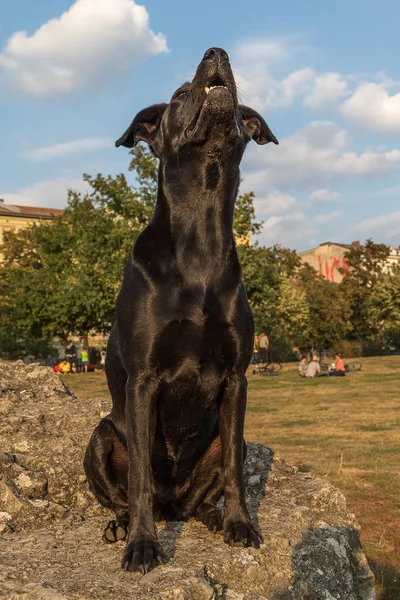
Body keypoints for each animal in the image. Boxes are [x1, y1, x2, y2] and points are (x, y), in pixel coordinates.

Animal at [83, 47, 278, 572]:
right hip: (101, 437)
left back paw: (210, 517)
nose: (217, 52)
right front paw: (143, 545)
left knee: (201, 494)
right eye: (178, 95)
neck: (201, 239)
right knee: (129, 495)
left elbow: (233, 468)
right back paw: (122, 526)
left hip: (224, 445)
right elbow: (140, 478)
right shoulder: (143, 380)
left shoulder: (237, 378)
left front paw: (240, 524)